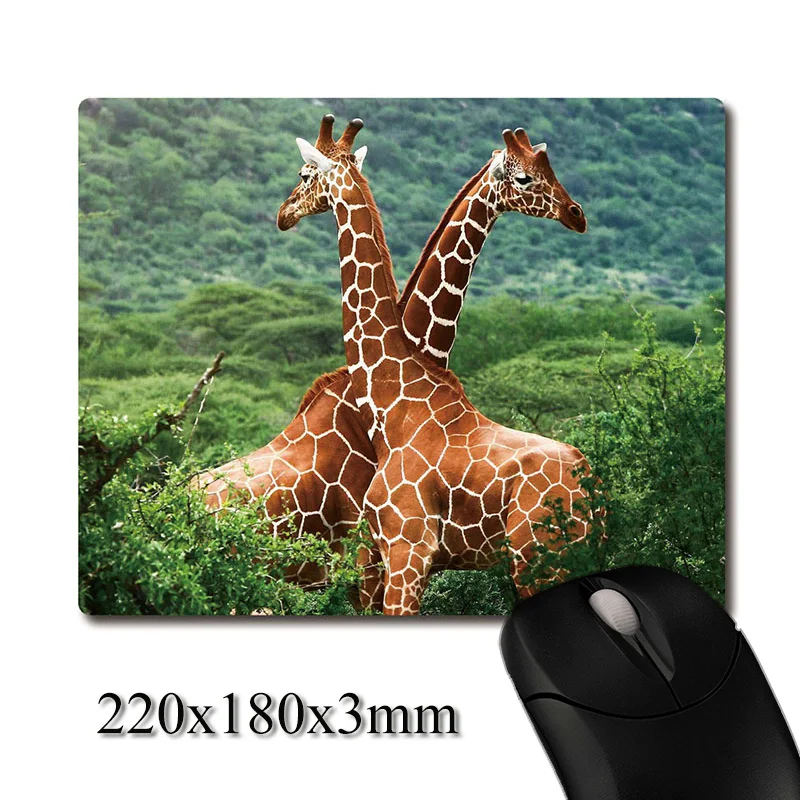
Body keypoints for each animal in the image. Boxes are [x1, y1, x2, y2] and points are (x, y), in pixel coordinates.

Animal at [276, 116, 603, 615]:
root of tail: (595, 493)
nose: (576, 214)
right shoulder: (390, 559)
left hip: (540, 558)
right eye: (525, 177)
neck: (394, 399)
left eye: (303, 173)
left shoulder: (405, 548)